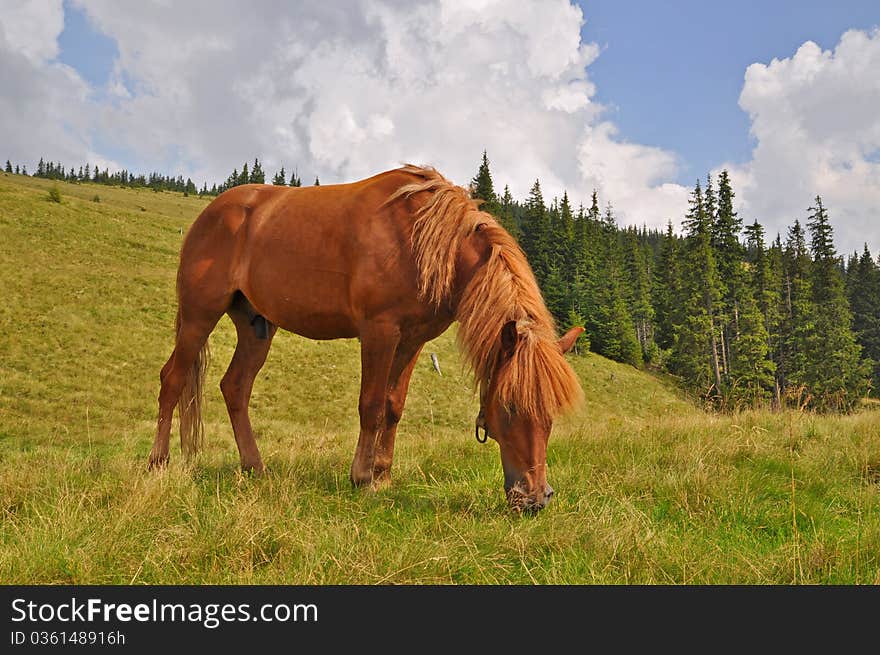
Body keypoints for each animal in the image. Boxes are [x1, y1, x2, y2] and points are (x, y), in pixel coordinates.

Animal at [150, 164, 584, 512]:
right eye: (508, 407)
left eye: (551, 412)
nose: (536, 498)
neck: (424, 239)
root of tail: (211, 213)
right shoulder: (380, 331)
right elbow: (372, 405)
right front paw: (362, 478)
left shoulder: (412, 341)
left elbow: (394, 406)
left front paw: (384, 475)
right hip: (199, 316)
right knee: (172, 379)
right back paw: (159, 463)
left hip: (256, 327)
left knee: (235, 387)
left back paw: (255, 468)